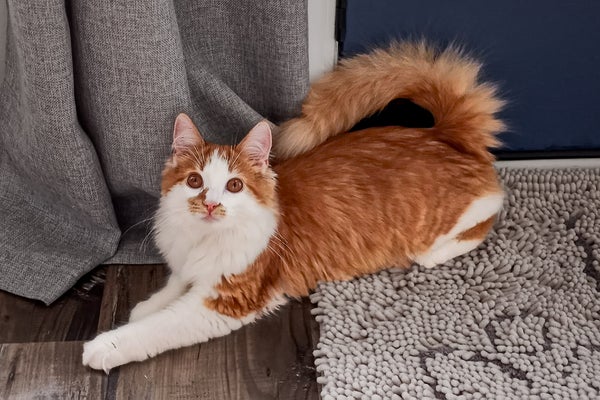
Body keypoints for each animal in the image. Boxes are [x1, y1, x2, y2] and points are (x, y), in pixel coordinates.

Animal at [82, 41, 504, 372]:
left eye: (234, 186)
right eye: (195, 182)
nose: (211, 205)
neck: (204, 239)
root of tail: (445, 135)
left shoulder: (228, 299)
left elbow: (157, 328)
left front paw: (107, 344)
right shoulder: (189, 267)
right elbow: (171, 288)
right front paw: (146, 305)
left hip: (454, 219)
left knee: (487, 215)